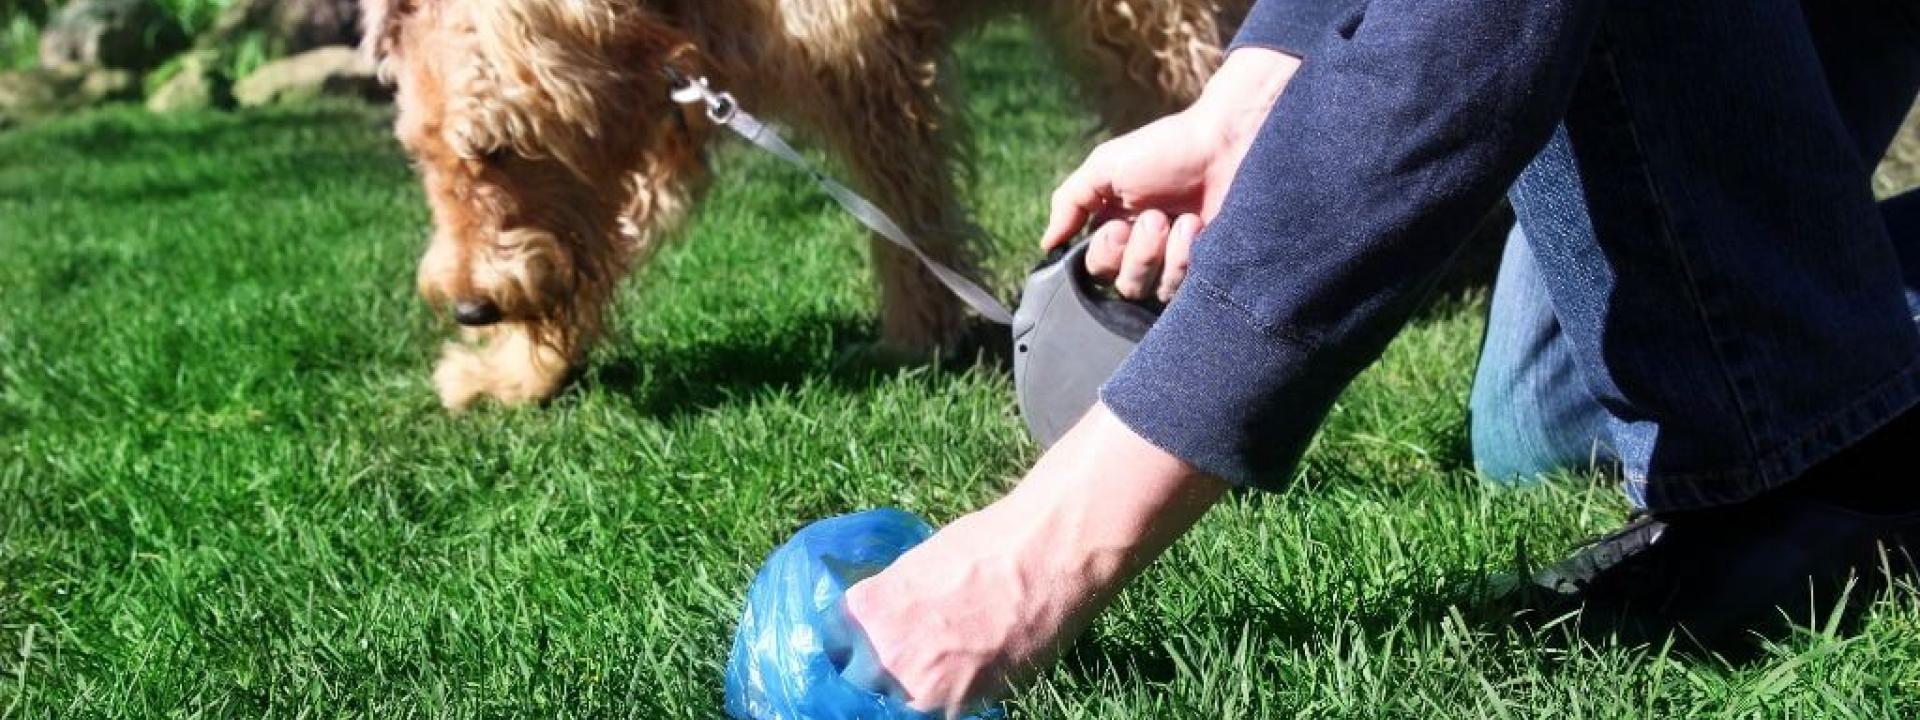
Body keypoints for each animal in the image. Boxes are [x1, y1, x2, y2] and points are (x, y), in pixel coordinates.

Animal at [362, 0, 1244, 410]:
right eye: (420, 152)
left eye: (497, 147)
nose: (471, 307)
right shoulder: (670, 110)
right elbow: (602, 246)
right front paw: (517, 373)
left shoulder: (863, 60)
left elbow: (906, 212)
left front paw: (915, 340)